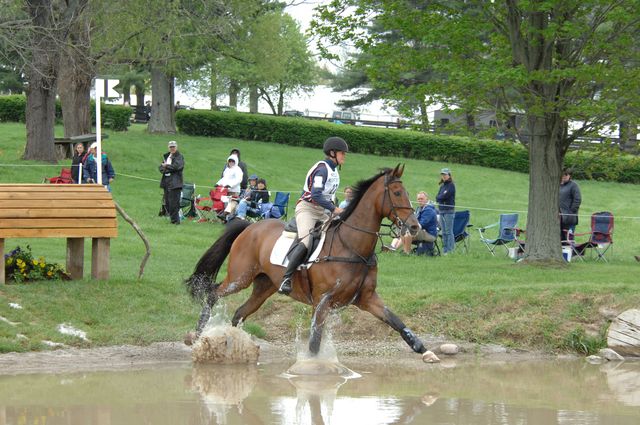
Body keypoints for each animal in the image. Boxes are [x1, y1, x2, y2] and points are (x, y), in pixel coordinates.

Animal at [185, 165, 442, 362]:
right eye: (397, 193)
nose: (415, 227)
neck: (352, 246)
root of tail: (249, 226)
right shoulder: (322, 301)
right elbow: (315, 341)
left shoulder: (367, 298)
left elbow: (397, 322)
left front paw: (424, 350)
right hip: (240, 278)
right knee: (213, 293)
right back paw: (197, 335)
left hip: (264, 286)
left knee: (240, 313)